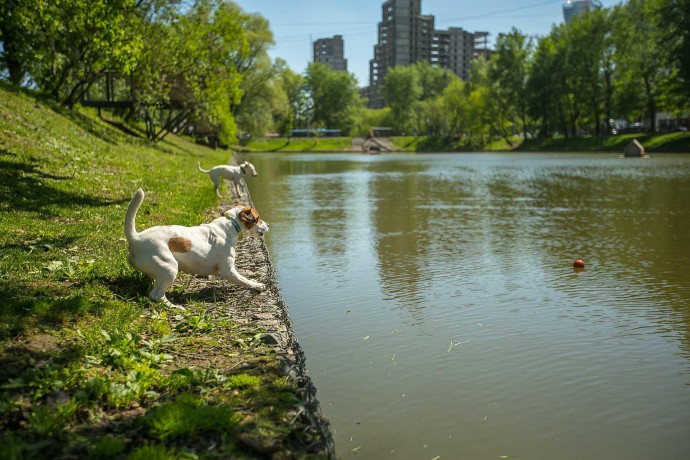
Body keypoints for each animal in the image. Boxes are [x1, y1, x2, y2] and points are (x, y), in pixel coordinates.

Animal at [124, 187, 268, 310]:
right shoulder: (228, 271)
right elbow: (243, 280)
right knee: (156, 295)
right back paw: (175, 307)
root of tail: (136, 238)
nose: (268, 225)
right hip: (169, 267)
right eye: (258, 218)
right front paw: (257, 285)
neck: (229, 226)